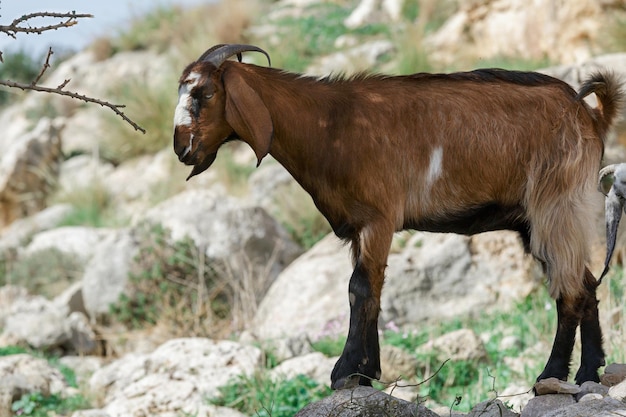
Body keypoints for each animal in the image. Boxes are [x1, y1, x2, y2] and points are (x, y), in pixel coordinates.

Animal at [172, 44, 624, 388]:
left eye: (204, 94)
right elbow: (371, 292)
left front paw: (345, 372)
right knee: (586, 283)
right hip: (537, 220)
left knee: (570, 291)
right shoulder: (360, 227)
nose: (181, 148)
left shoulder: (378, 219)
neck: (330, 125)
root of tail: (591, 115)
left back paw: (551, 375)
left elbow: (359, 289)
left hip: (555, 204)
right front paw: (368, 372)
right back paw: (588, 372)